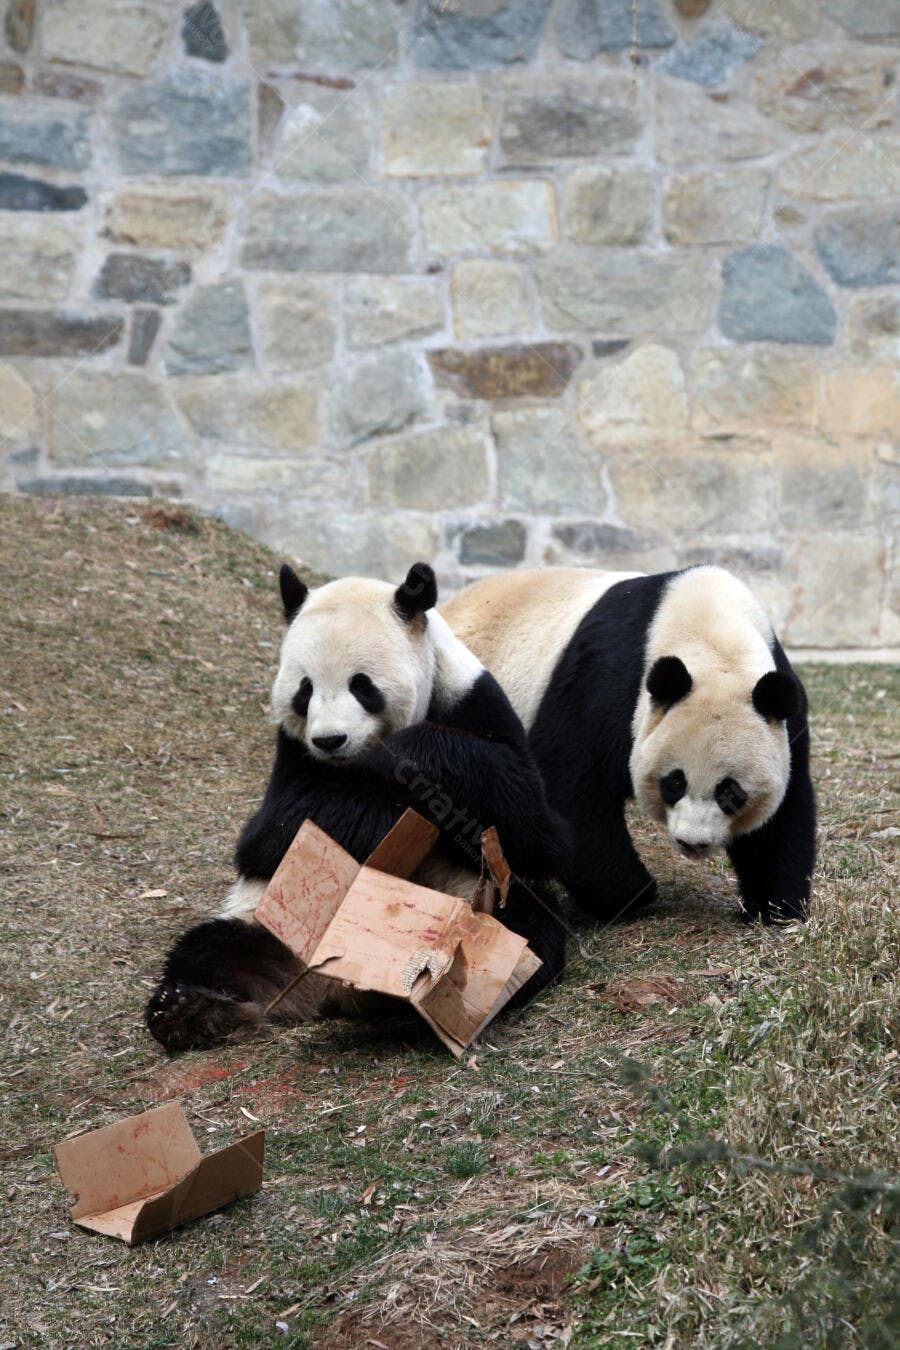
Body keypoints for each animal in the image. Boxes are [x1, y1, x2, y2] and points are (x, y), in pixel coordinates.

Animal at [145, 562, 569, 1053]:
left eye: (361, 685)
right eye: (305, 690)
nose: (330, 740)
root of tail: (319, 988)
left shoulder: (476, 704)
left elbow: (537, 832)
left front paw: (402, 762)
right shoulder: (291, 755)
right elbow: (273, 834)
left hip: (474, 903)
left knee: (525, 933)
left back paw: (404, 997)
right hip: (260, 921)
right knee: (210, 949)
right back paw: (191, 1011)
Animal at [442, 565, 815, 926]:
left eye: (731, 791)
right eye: (674, 782)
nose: (692, 843)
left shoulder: (784, 712)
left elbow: (784, 810)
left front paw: (774, 907)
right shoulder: (608, 676)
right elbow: (570, 781)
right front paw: (634, 895)